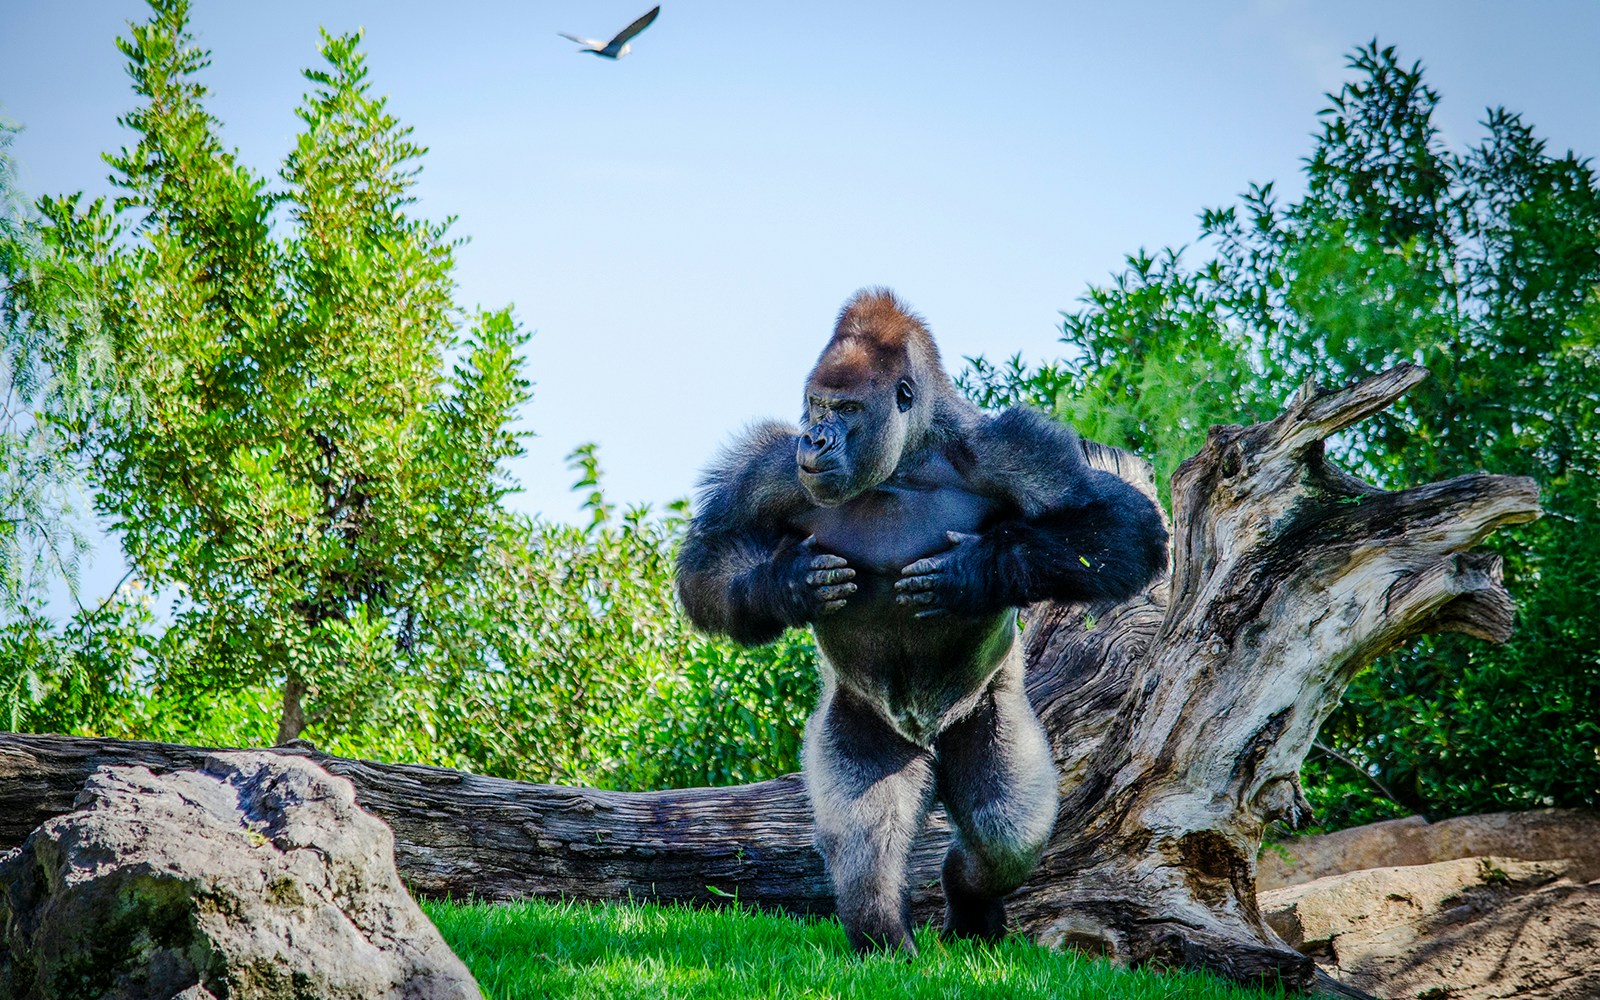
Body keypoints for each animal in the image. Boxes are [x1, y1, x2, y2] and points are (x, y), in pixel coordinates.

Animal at [676, 288, 1168, 955]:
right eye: (816, 406)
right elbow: (710, 555)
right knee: (867, 841)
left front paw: (977, 570)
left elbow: (1120, 522)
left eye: (847, 409)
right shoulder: (770, 468)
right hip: (860, 722)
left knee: (1004, 834)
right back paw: (886, 938)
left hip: (995, 711)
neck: (906, 461)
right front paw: (785, 585)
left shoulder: (1016, 447)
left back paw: (968, 896)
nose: (816, 440)